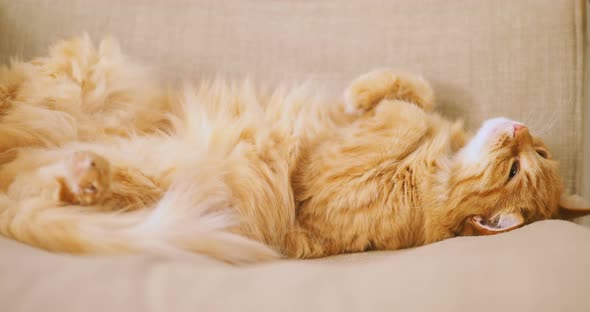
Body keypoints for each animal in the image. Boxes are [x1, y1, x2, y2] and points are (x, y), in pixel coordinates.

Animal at [1, 37, 590, 264]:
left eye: (514, 170)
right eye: (534, 153)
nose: (519, 127)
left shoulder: (331, 186)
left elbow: (403, 118)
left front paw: (370, 100)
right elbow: (415, 95)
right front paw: (374, 91)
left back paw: (84, 170)